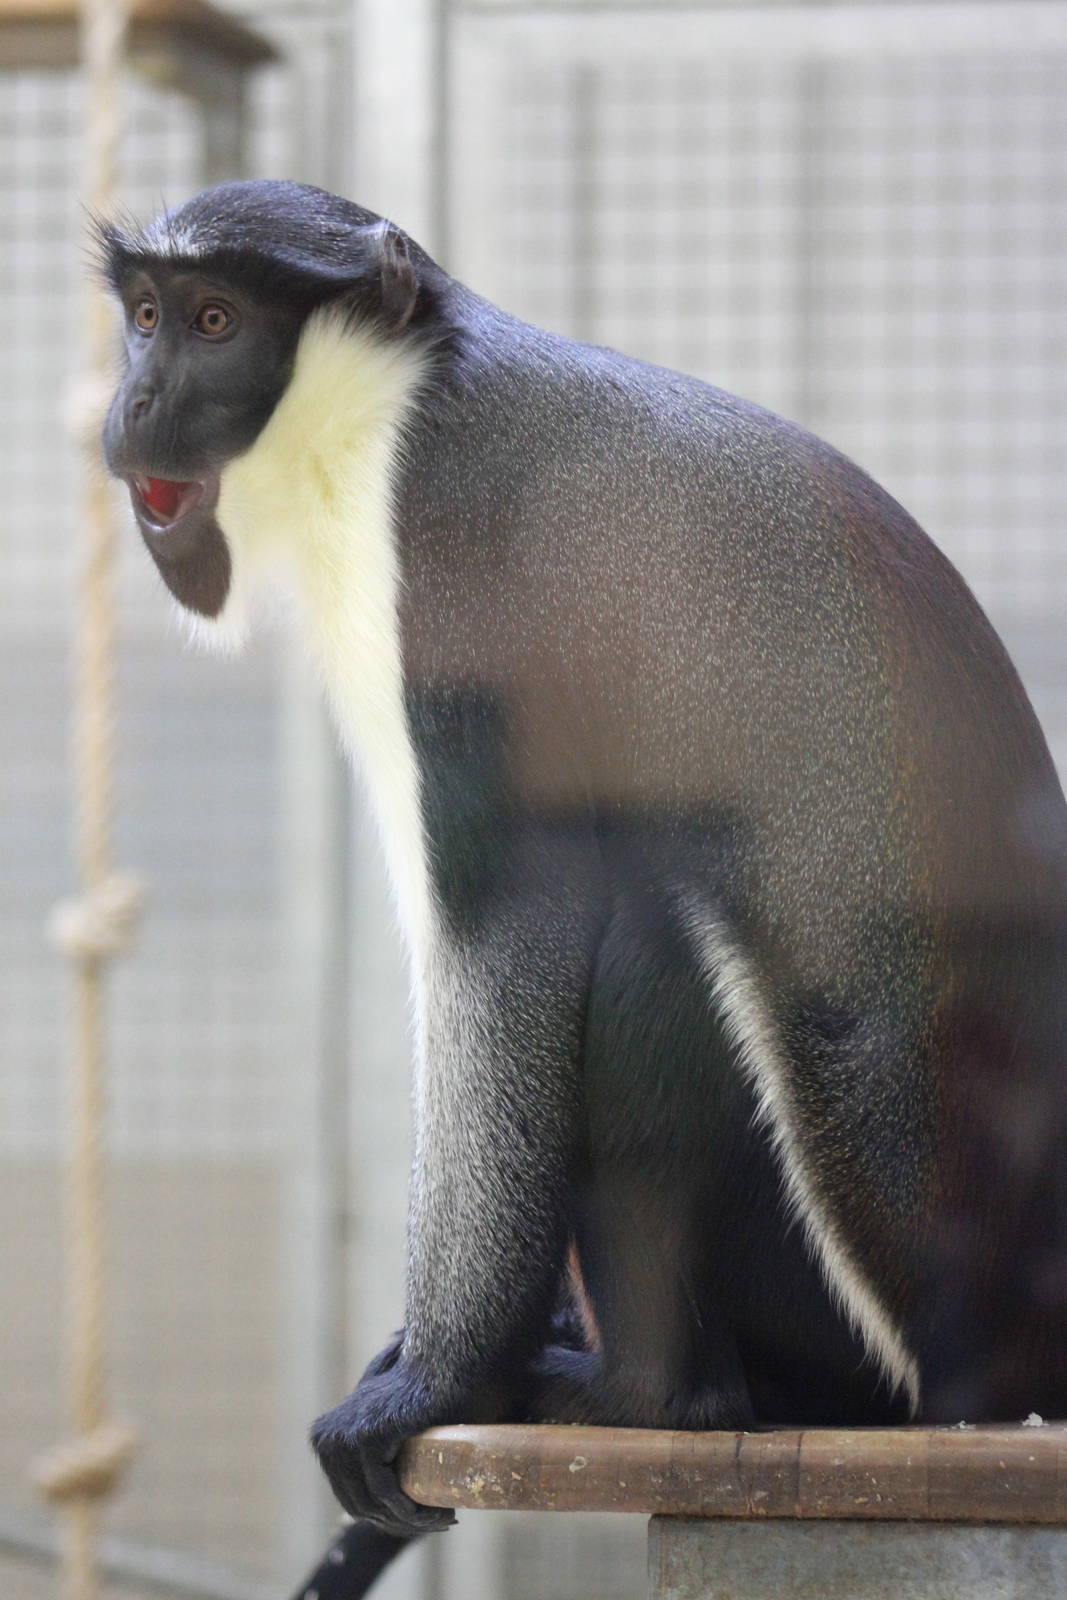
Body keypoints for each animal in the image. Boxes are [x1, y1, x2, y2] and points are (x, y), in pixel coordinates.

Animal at [97, 180, 1067, 1596]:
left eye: (215, 320)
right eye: (144, 315)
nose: (133, 401)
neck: (393, 393)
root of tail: (1008, 1370)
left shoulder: (453, 573)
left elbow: (509, 934)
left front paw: (437, 1379)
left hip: (846, 1313)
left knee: (648, 927)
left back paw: (651, 1397)